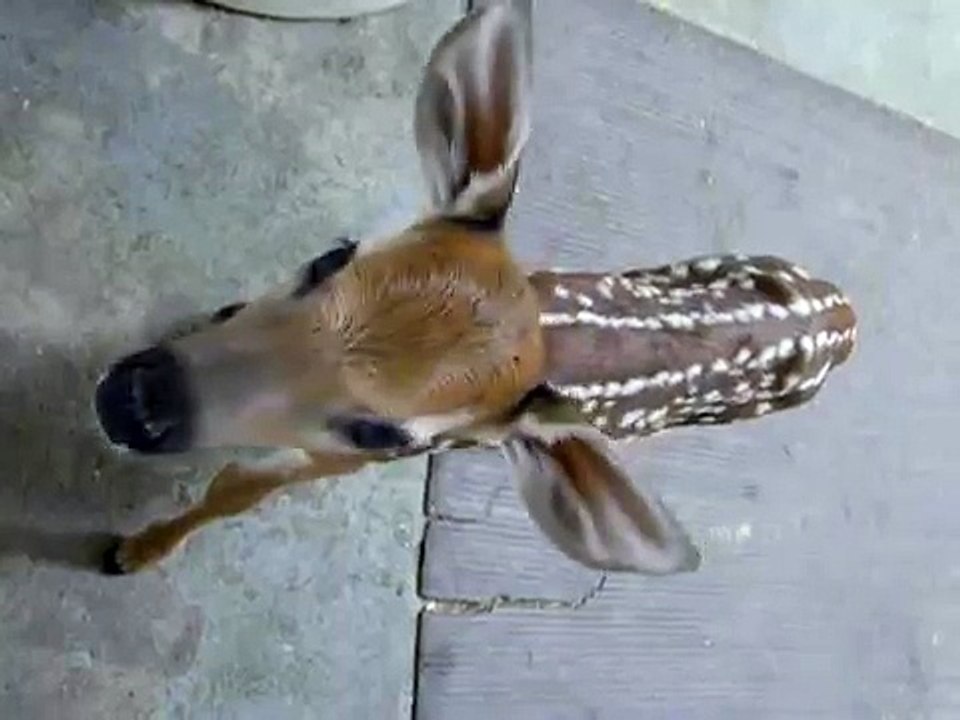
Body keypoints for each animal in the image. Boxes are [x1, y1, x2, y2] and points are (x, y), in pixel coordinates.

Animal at [92, 2, 857, 577]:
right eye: (331, 257)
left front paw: (136, 552)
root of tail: (845, 313)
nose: (134, 400)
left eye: (380, 432)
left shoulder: (338, 460)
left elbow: (236, 490)